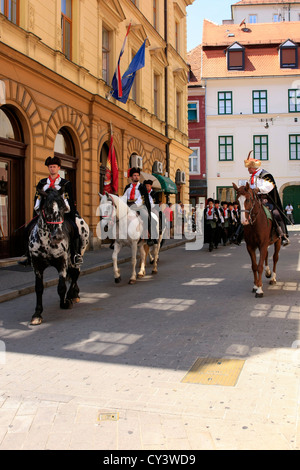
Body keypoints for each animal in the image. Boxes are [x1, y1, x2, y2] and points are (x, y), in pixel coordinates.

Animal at [28, 187, 88, 324]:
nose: (59, 236)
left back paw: (72, 295)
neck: (46, 242)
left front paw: (65, 302)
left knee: (75, 273)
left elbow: (61, 287)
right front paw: (37, 314)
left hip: (77, 255)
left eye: (63, 208)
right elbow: (39, 288)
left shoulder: (62, 261)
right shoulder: (37, 265)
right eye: (47, 208)